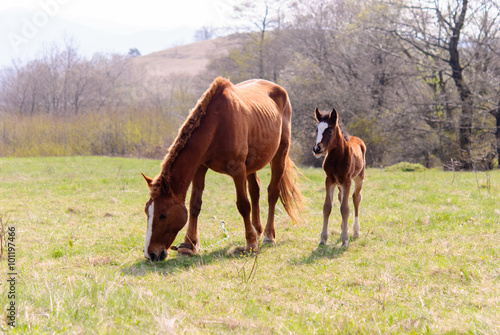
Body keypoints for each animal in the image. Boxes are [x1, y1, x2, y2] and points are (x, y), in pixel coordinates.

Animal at [143, 77, 302, 262]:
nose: (151, 253)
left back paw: (268, 236)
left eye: (163, 215)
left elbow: (243, 205)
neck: (217, 125)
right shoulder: (200, 168)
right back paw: (257, 231)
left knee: (272, 193)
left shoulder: (238, 170)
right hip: (252, 165)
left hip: (279, 155)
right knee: (255, 192)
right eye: (147, 212)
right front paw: (188, 245)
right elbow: (195, 204)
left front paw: (251, 244)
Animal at [312, 109, 368, 248]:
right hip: (339, 183)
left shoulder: (347, 181)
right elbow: (327, 207)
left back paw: (355, 231)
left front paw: (345, 240)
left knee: (356, 198)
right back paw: (344, 228)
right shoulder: (329, 180)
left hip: (359, 177)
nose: (317, 149)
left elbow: (345, 209)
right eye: (317, 129)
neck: (337, 158)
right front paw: (323, 239)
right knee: (341, 197)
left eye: (330, 131)